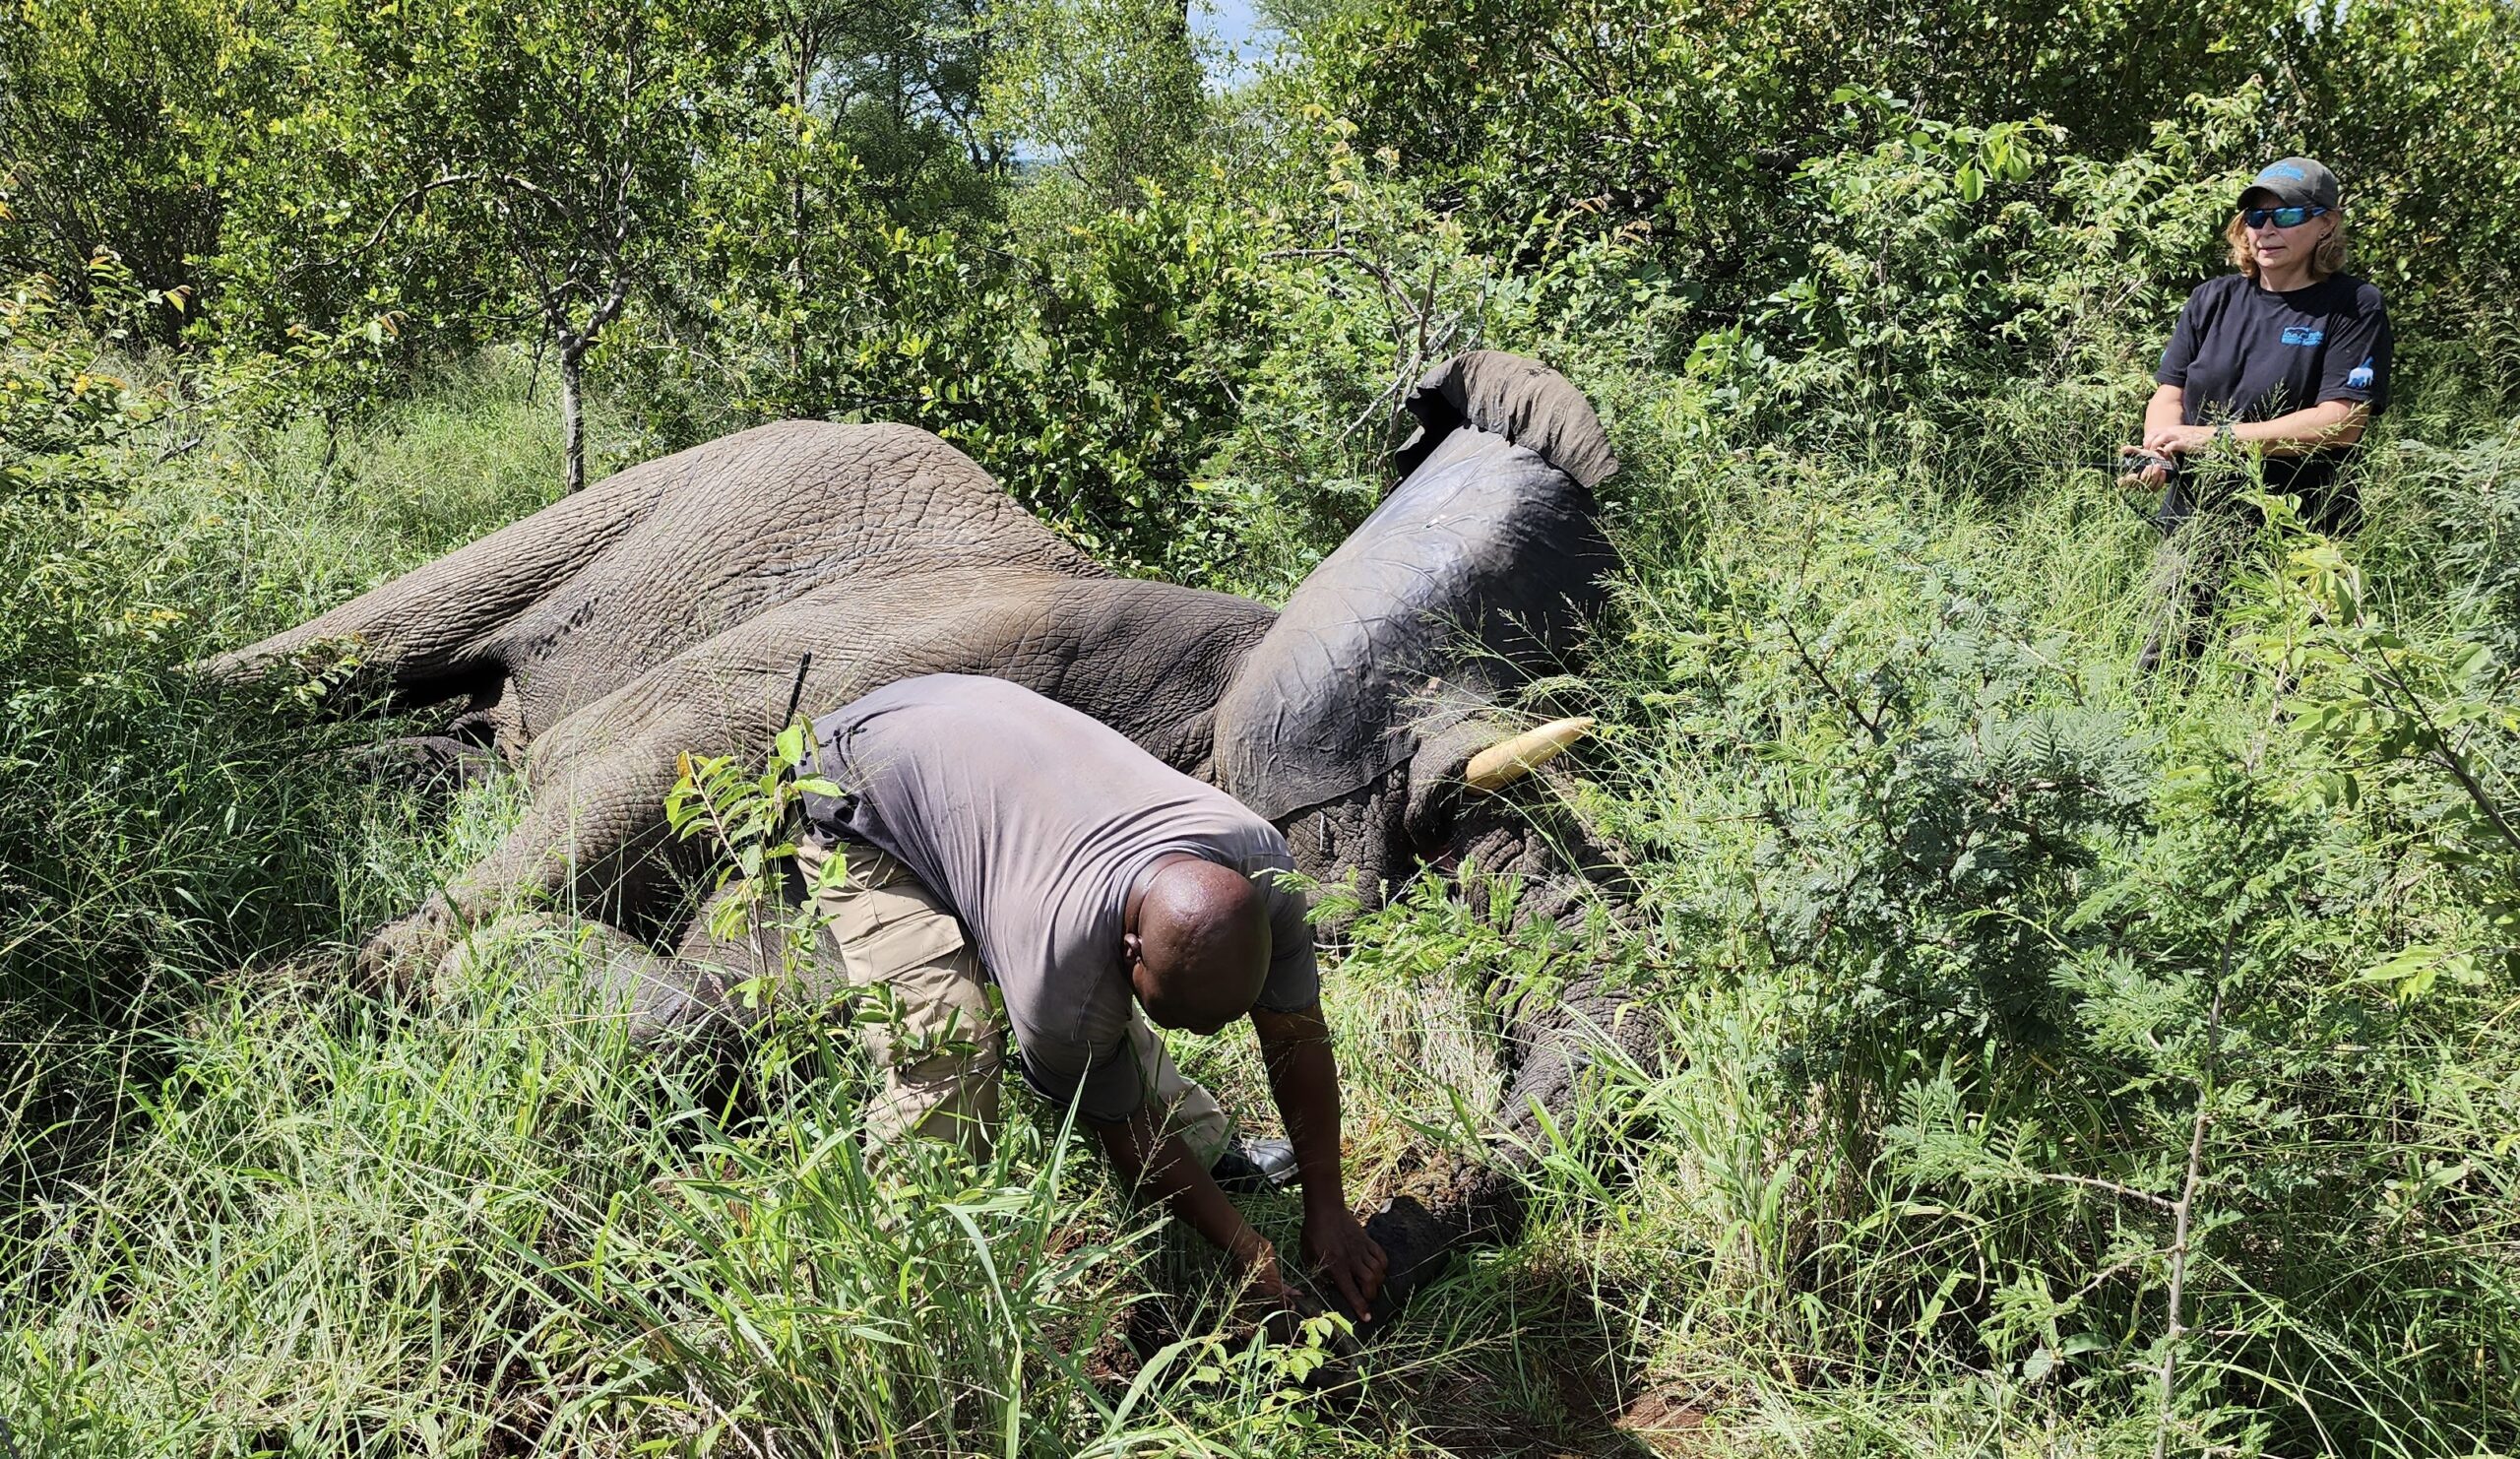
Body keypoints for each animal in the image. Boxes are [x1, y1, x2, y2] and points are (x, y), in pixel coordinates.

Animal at [206, 350, 1661, 1314]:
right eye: (1418, 785)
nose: (1410, 1227)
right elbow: (644, 778)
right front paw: (294, 1010)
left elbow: (757, 980)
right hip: (656, 493)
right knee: (360, 645)